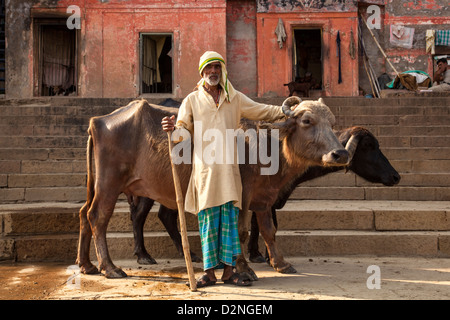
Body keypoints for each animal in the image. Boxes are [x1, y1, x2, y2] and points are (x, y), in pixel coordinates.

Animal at [77, 97, 350, 278]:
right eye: (307, 120)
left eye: (332, 122)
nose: (340, 153)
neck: (266, 145)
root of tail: (98, 121)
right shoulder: (243, 194)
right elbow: (241, 231)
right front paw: (243, 269)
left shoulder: (264, 199)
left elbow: (269, 230)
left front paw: (281, 264)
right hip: (109, 183)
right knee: (98, 216)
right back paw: (110, 267)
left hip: (98, 185)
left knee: (83, 214)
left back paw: (87, 265)